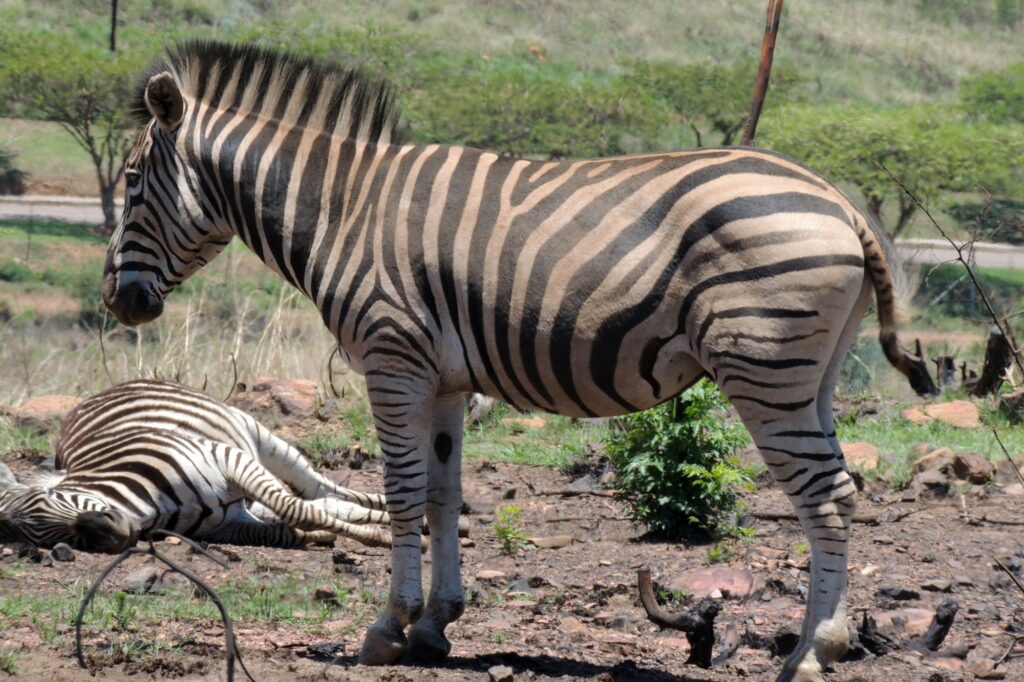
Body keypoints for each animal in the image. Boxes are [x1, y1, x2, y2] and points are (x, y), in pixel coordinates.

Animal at [0, 380, 391, 551]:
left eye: (52, 497)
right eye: (44, 537)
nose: (115, 535)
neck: (150, 509)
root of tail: (97, 394)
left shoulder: (228, 458)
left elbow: (296, 510)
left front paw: (379, 538)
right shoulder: (230, 525)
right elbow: (283, 529)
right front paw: (322, 536)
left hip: (259, 437)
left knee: (321, 490)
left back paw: (394, 513)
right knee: (325, 502)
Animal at [101, 41, 936, 682]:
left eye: (133, 183)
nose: (119, 302)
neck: (343, 212)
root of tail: (839, 200)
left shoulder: (391, 358)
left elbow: (403, 494)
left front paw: (388, 627)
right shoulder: (442, 378)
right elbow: (444, 495)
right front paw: (436, 625)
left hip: (764, 366)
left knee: (826, 497)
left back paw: (811, 654)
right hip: (811, 374)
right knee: (840, 492)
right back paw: (818, 644)